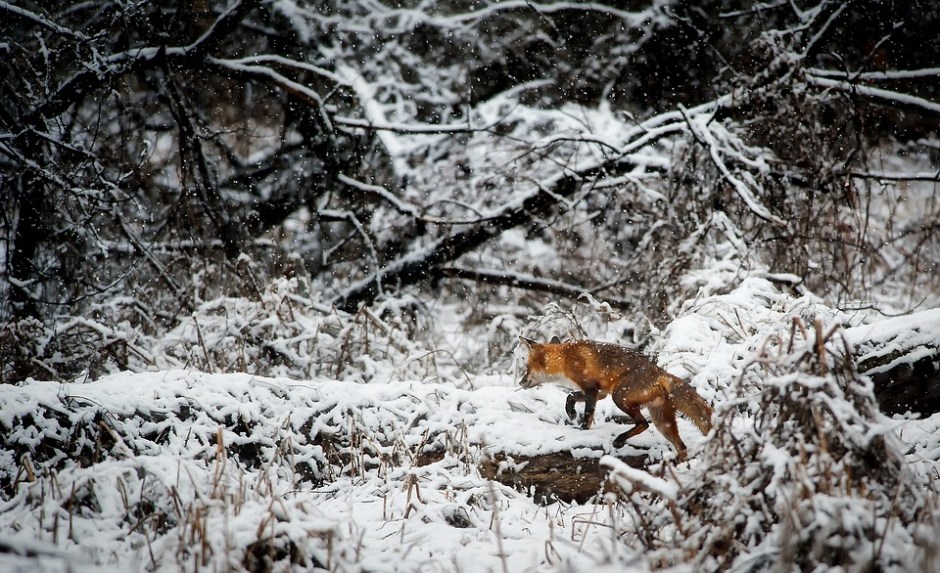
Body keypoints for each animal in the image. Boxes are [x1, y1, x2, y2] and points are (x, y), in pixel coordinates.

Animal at [519, 336, 713, 459]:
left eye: (527, 367)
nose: (521, 382)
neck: (566, 358)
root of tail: (661, 373)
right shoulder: (600, 392)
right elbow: (570, 396)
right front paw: (571, 412)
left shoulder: (592, 389)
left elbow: (587, 414)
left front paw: (582, 430)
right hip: (661, 422)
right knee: (681, 447)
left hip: (620, 397)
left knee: (643, 423)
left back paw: (620, 440)